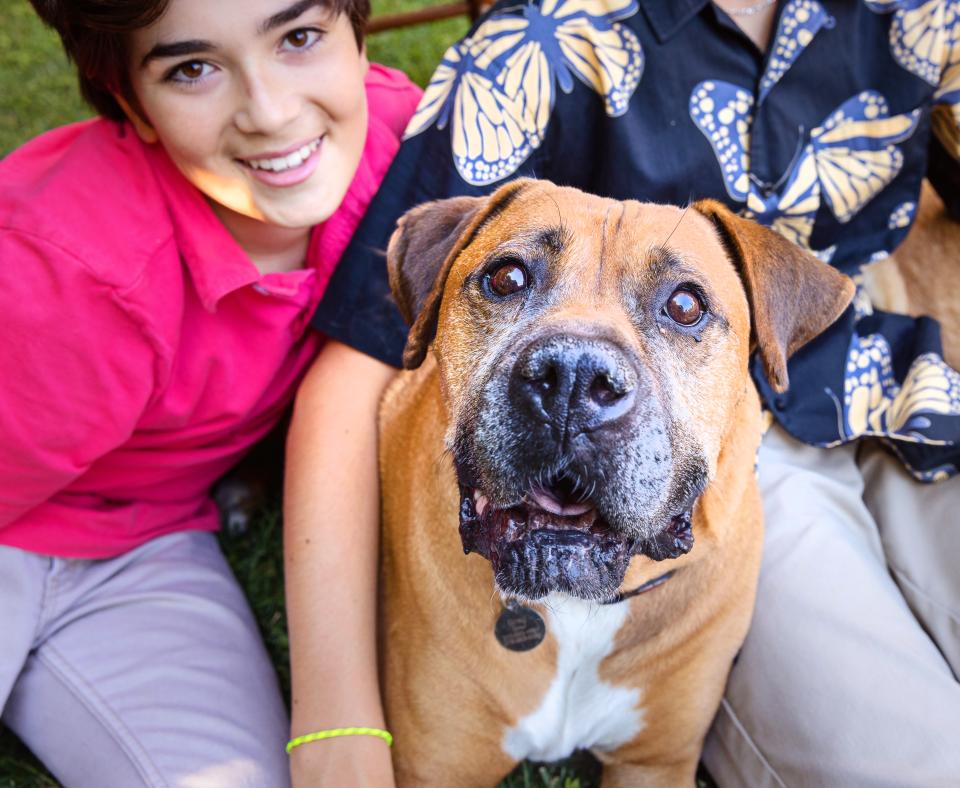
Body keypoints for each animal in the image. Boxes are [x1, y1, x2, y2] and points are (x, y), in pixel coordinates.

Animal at [378, 182, 852, 784]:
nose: (573, 377)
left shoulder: (657, 764)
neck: (578, 611)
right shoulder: (435, 765)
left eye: (685, 305)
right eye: (506, 278)